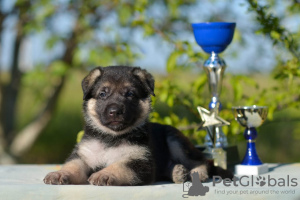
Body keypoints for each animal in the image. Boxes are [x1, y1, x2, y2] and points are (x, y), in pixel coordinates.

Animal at [43, 66, 233, 186]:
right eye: (103, 94)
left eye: (130, 94)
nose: (114, 111)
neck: (111, 137)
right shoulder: (83, 155)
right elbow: (72, 165)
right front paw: (59, 173)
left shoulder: (140, 162)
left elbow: (120, 166)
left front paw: (105, 173)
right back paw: (177, 172)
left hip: (175, 141)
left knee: (202, 160)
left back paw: (196, 173)